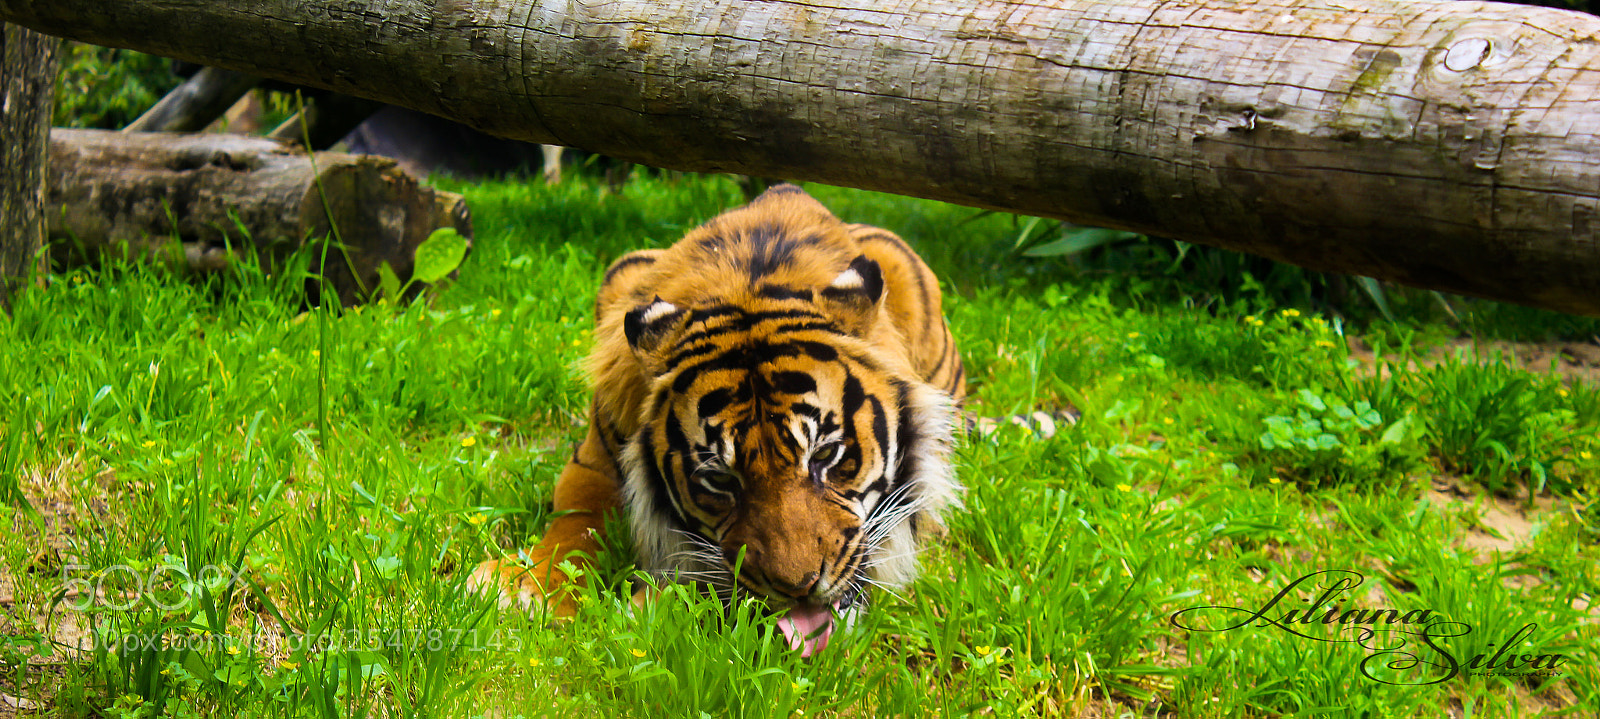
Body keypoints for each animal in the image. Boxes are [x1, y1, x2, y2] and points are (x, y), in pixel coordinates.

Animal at [469, 183, 964, 656]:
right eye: (721, 480)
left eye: (825, 455)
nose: (798, 589)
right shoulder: (595, 460)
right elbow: (577, 518)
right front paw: (522, 586)